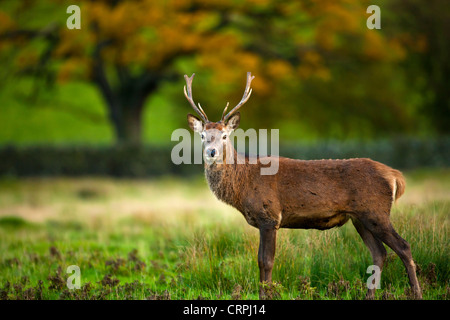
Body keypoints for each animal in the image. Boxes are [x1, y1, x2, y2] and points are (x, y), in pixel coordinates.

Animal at [182, 72, 422, 300]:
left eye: (224, 135)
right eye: (202, 135)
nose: (211, 152)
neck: (243, 186)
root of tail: (395, 176)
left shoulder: (269, 216)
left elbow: (266, 261)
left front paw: (267, 294)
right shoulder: (263, 221)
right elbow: (259, 261)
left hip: (376, 211)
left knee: (403, 246)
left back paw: (416, 293)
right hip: (360, 217)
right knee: (379, 253)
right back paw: (369, 295)